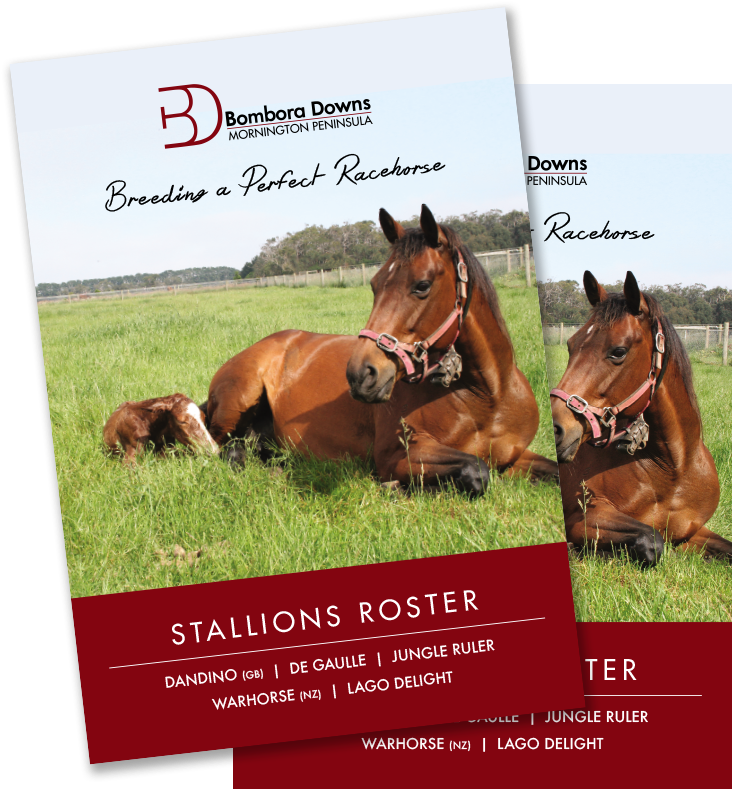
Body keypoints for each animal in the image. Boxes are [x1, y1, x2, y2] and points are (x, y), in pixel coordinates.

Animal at [204, 204, 557, 494]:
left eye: (422, 285)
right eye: (374, 285)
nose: (361, 374)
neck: (488, 397)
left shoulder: (516, 456)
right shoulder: (397, 456)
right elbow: (476, 470)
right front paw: (395, 488)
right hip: (237, 402)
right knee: (219, 448)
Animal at [551, 271, 730, 565]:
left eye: (618, 351)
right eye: (570, 345)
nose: (557, 428)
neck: (673, 470)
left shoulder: (694, 532)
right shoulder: (583, 518)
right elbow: (651, 539)